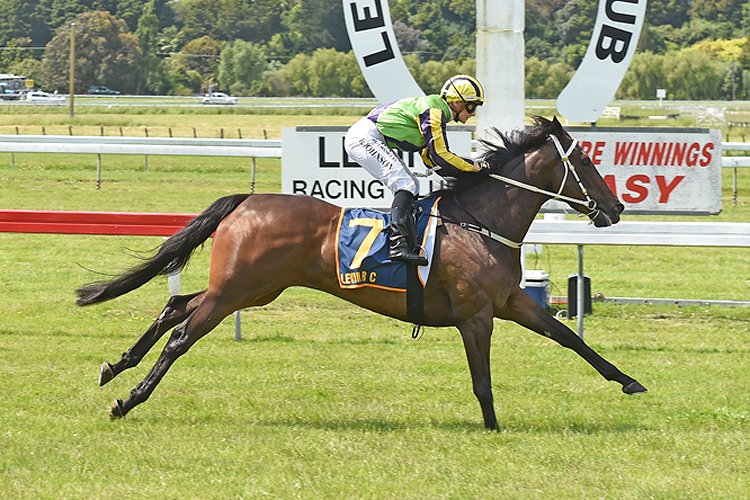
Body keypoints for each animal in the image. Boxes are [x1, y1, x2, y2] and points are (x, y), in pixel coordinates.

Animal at [79, 117, 648, 430]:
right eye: (586, 162)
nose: (616, 207)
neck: (481, 221)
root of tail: (247, 200)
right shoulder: (476, 314)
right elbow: (483, 380)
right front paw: (492, 428)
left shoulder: (512, 302)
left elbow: (571, 339)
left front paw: (630, 381)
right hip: (237, 292)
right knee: (181, 336)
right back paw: (127, 400)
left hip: (251, 288)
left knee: (176, 305)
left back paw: (115, 366)